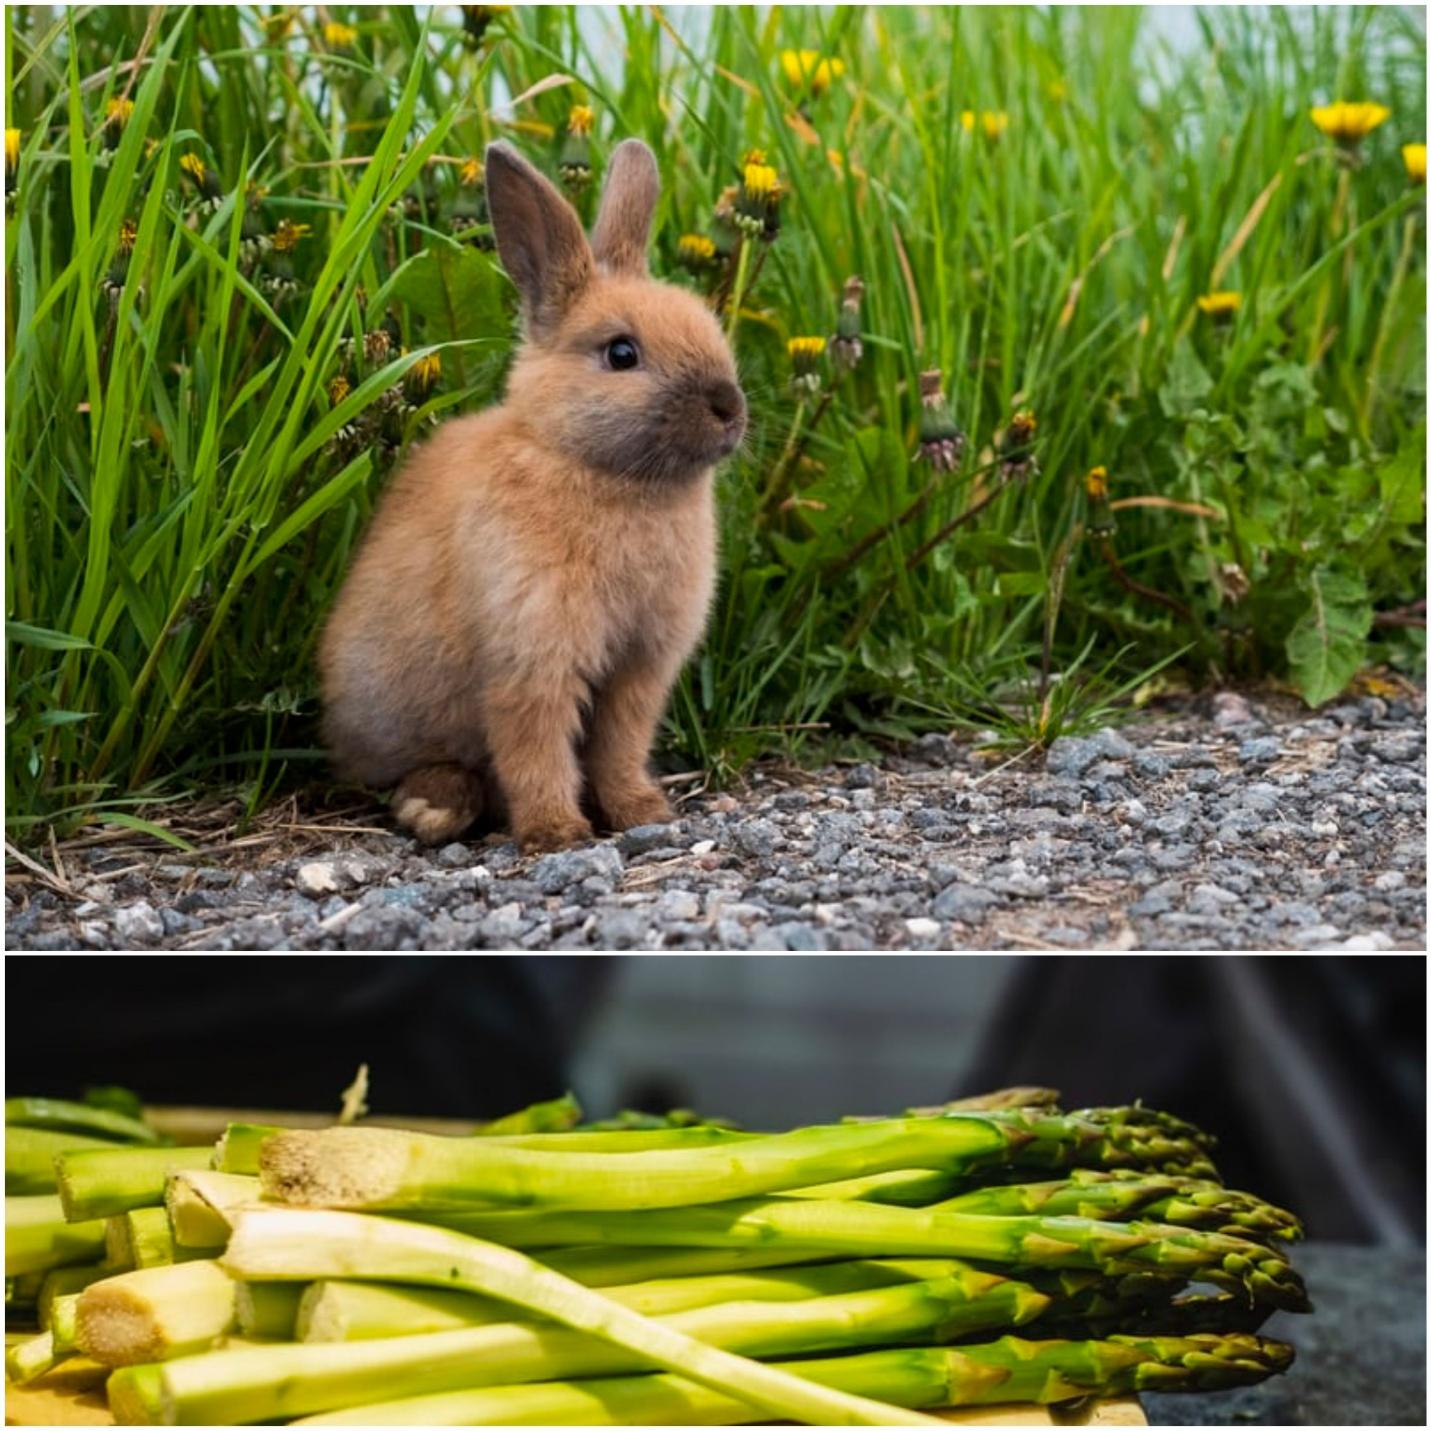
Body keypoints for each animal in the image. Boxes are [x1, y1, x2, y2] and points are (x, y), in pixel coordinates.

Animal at [318, 138, 746, 853]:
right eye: (622, 353)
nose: (729, 408)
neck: (596, 468)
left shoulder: (639, 669)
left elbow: (618, 746)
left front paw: (643, 812)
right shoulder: (531, 657)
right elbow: (535, 748)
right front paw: (556, 832)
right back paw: (433, 807)